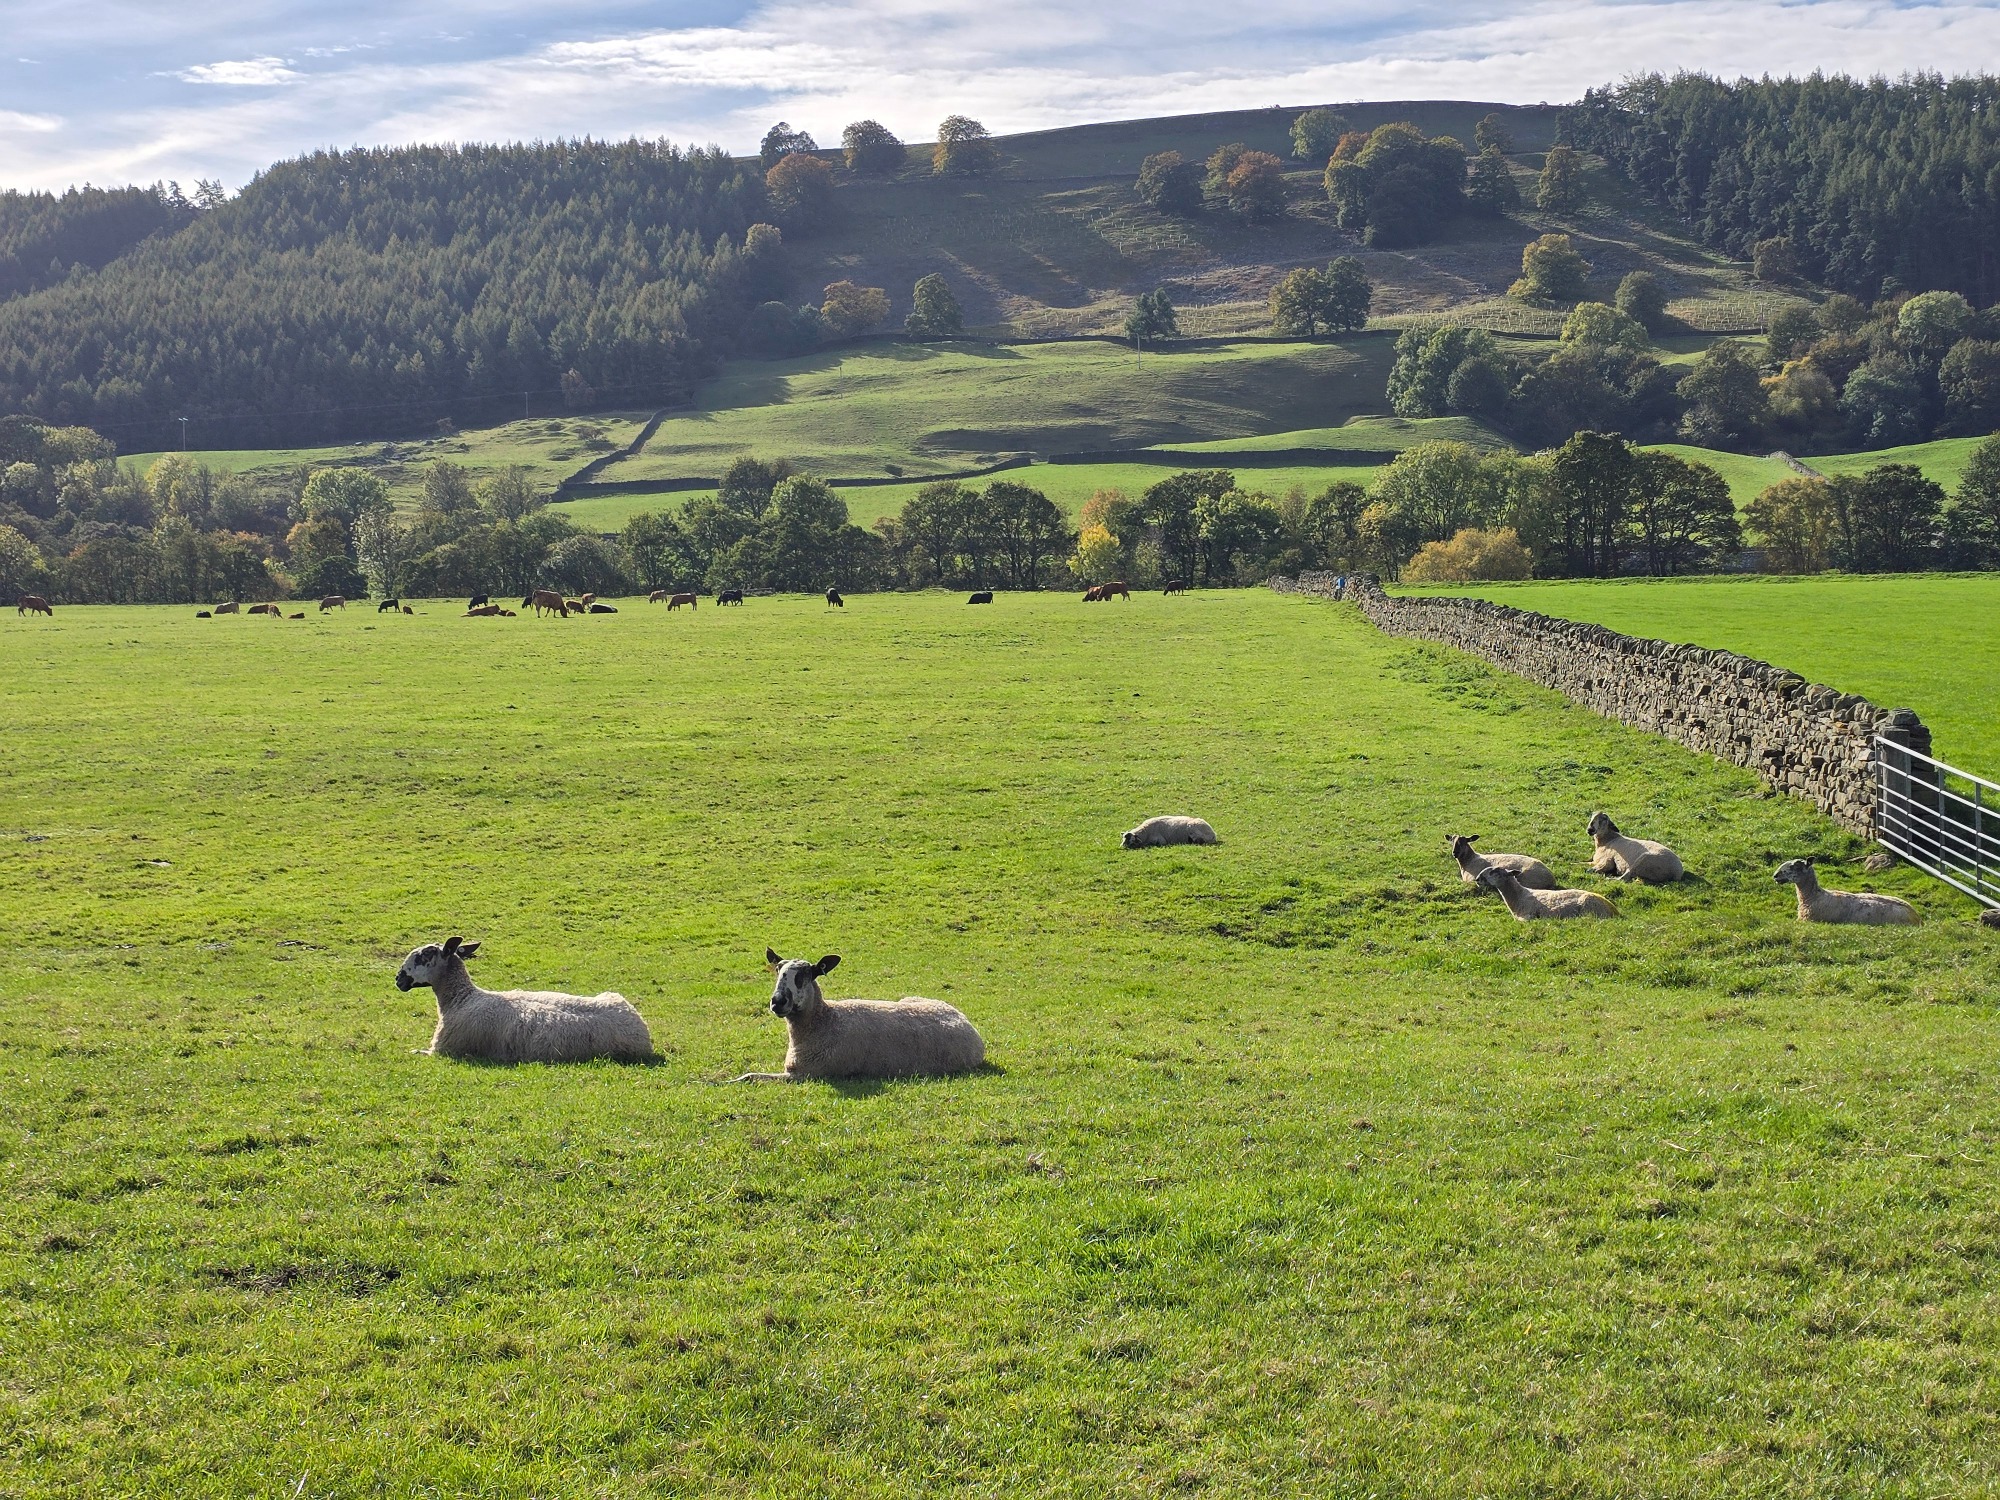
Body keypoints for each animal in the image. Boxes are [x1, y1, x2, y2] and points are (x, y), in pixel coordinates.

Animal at [394, 936, 654, 1063]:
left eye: (424, 955)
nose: (398, 978)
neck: (461, 999)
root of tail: (641, 1026)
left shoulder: (443, 1051)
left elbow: (413, 1052)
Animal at [732, 950, 984, 1082]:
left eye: (805, 974)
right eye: (778, 970)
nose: (777, 1001)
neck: (825, 1020)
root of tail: (968, 1024)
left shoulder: (805, 1074)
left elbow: (750, 1075)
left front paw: (730, 1081)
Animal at [1475, 866, 1618, 920]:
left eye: (1494, 872)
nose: (1477, 879)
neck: (1519, 896)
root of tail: (1614, 910)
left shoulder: (1528, 916)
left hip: (1590, 907)